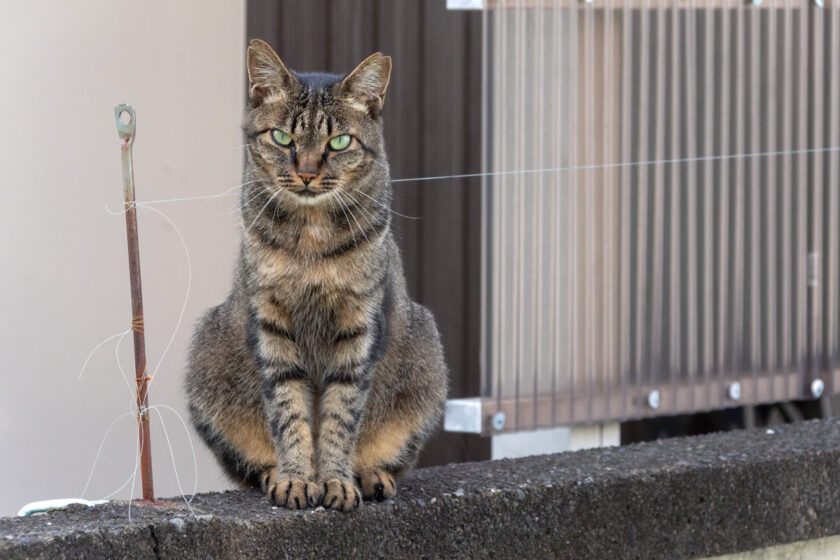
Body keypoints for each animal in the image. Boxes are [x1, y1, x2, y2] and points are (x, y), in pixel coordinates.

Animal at [186, 39, 450, 512]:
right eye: (282, 137)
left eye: (339, 142)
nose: (307, 172)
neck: (310, 241)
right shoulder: (270, 322)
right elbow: (289, 411)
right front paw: (295, 478)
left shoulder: (360, 325)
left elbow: (340, 416)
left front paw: (336, 481)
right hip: (206, 355)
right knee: (250, 464)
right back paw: (273, 473)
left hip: (427, 358)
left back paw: (371, 475)